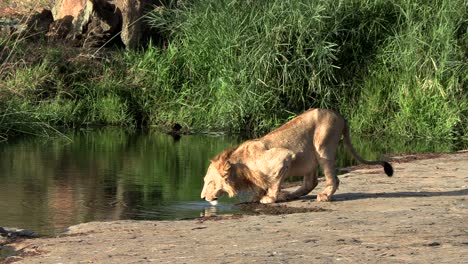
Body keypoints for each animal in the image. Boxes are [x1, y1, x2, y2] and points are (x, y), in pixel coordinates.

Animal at [199, 108, 394, 203]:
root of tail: (341, 117)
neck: (240, 166)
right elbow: (263, 184)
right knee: (310, 182)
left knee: (332, 178)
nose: (201, 198)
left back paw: (324, 196)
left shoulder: (284, 157)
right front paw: (258, 196)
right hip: (310, 157)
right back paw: (289, 196)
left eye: (209, 182)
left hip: (323, 146)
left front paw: (269, 198)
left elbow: (274, 181)